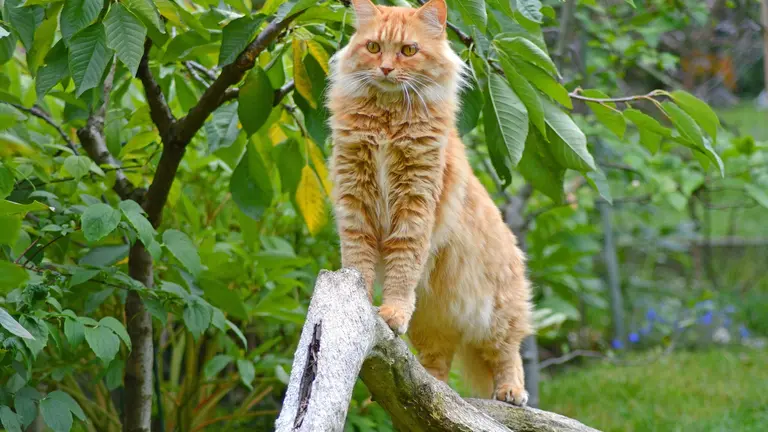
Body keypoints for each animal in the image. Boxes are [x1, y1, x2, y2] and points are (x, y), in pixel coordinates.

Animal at [328, 0, 536, 404]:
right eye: (374, 47)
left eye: (409, 50)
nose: (386, 68)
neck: (386, 124)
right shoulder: (355, 203)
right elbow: (359, 263)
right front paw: (361, 301)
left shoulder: (415, 207)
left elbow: (402, 270)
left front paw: (391, 311)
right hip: (433, 323)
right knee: (434, 371)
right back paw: (427, 393)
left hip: (497, 313)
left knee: (508, 352)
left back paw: (511, 391)